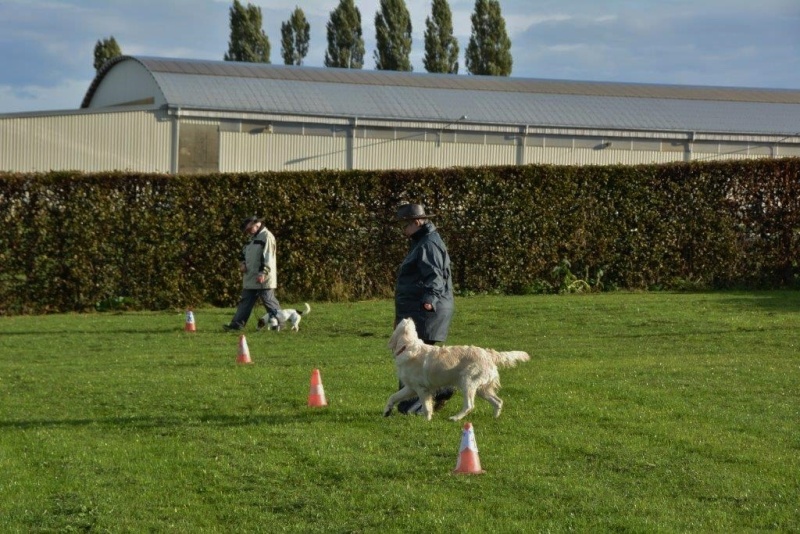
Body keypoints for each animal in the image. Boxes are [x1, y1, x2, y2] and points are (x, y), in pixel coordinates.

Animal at [384, 318, 528, 422]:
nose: (408, 317)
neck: (407, 346)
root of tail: (488, 354)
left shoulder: (422, 389)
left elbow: (426, 406)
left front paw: (427, 420)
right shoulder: (410, 388)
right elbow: (393, 397)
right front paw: (387, 411)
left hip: (468, 383)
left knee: (469, 406)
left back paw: (455, 418)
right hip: (482, 389)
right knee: (498, 401)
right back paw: (495, 418)